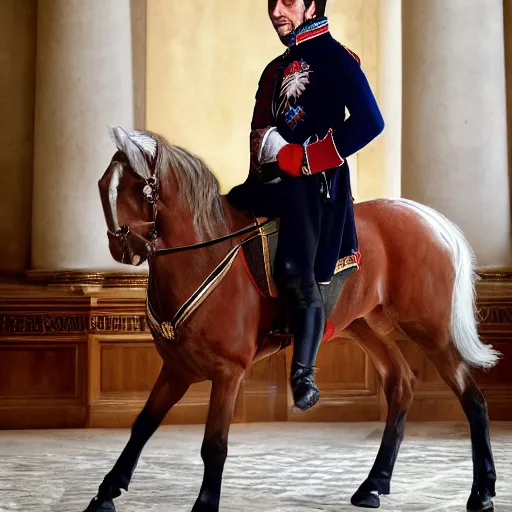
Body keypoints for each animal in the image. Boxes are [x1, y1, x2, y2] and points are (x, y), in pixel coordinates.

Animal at [85, 128, 500, 512]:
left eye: (143, 189)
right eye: (104, 185)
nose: (122, 247)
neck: (202, 254)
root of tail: (428, 219)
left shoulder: (228, 372)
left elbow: (214, 443)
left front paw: (204, 503)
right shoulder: (176, 368)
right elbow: (142, 425)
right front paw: (106, 492)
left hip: (430, 328)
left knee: (473, 398)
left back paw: (481, 491)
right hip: (364, 325)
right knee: (402, 384)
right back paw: (374, 484)